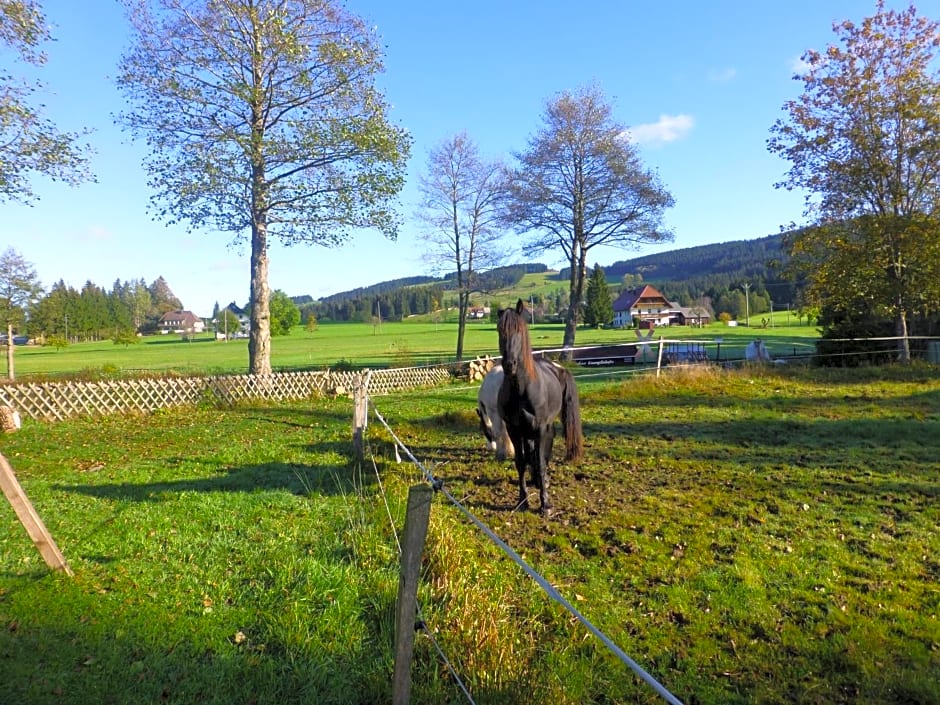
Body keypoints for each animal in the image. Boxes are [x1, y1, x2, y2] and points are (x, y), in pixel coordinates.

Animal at [496, 300, 584, 516]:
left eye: (519, 329)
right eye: (499, 330)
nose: (509, 364)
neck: (521, 388)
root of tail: (557, 367)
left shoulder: (540, 428)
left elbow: (541, 461)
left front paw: (546, 504)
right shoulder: (514, 429)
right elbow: (521, 462)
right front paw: (523, 500)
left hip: (546, 426)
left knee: (544, 452)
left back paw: (542, 481)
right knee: (532, 454)